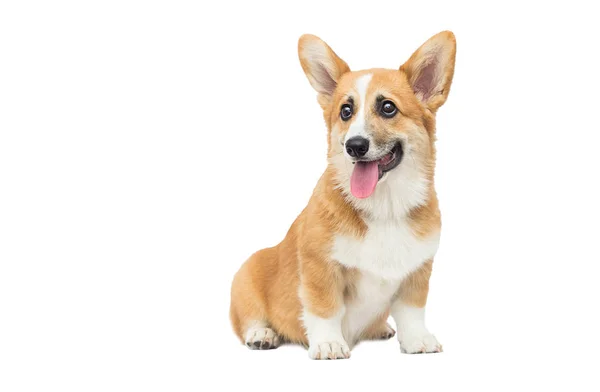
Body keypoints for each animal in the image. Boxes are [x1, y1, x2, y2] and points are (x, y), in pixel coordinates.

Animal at [229, 32, 454, 360]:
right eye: (345, 111)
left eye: (388, 108)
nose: (354, 146)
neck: (385, 206)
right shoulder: (320, 267)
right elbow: (325, 308)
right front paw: (328, 344)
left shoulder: (418, 270)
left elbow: (412, 310)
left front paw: (417, 340)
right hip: (246, 277)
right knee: (249, 319)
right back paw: (262, 334)